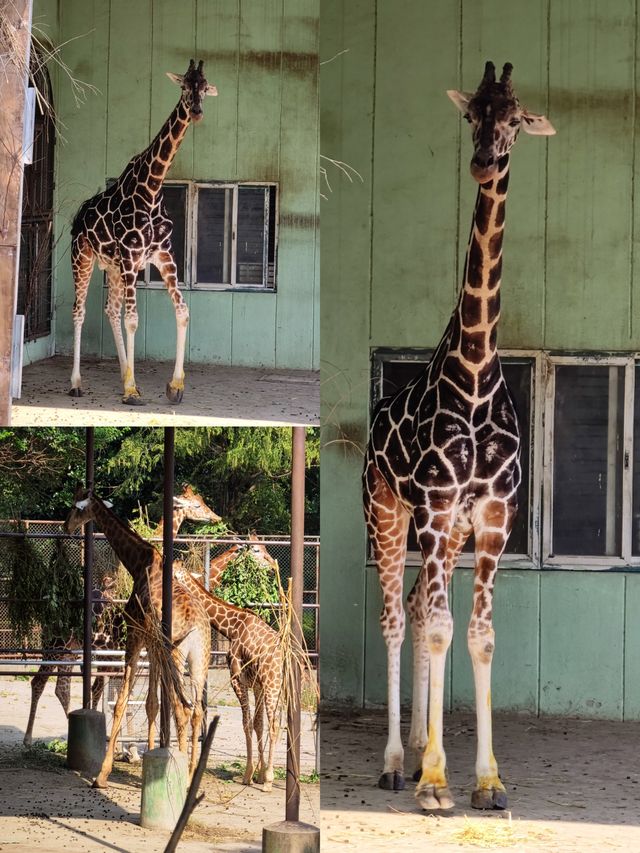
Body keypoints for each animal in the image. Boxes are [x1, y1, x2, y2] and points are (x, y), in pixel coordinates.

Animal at [64, 486, 211, 784]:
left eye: (75, 507)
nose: (65, 526)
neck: (138, 562)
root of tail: (198, 629)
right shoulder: (151, 646)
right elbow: (151, 703)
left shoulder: (136, 635)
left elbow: (123, 702)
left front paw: (102, 775)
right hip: (199, 660)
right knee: (195, 709)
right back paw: (189, 772)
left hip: (174, 654)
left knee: (182, 708)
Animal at [68, 60, 218, 406]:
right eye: (184, 86)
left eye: (205, 87)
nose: (197, 111)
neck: (151, 187)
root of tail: (79, 215)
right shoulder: (131, 254)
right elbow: (134, 320)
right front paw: (132, 390)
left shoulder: (162, 256)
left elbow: (182, 311)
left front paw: (173, 386)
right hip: (83, 258)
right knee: (79, 312)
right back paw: (78, 383)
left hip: (114, 267)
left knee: (111, 311)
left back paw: (126, 376)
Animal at [175, 564, 284, 792]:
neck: (233, 626)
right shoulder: (257, 685)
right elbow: (257, 724)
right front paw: (259, 774)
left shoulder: (236, 678)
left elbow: (246, 723)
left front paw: (249, 775)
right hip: (280, 688)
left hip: (273, 685)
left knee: (275, 725)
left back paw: (269, 782)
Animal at [364, 63, 556, 808]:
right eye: (472, 114)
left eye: (517, 119)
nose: (483, 162)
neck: (474, 373)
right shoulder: (436, 507)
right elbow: (444, 628)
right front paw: (438, 781)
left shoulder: (493, 518)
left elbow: (478, 636)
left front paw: (487, 779)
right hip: (389, 514)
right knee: (398, 617)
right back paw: (398, 761)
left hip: (443, 533)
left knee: (421, 611)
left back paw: (421, 745)